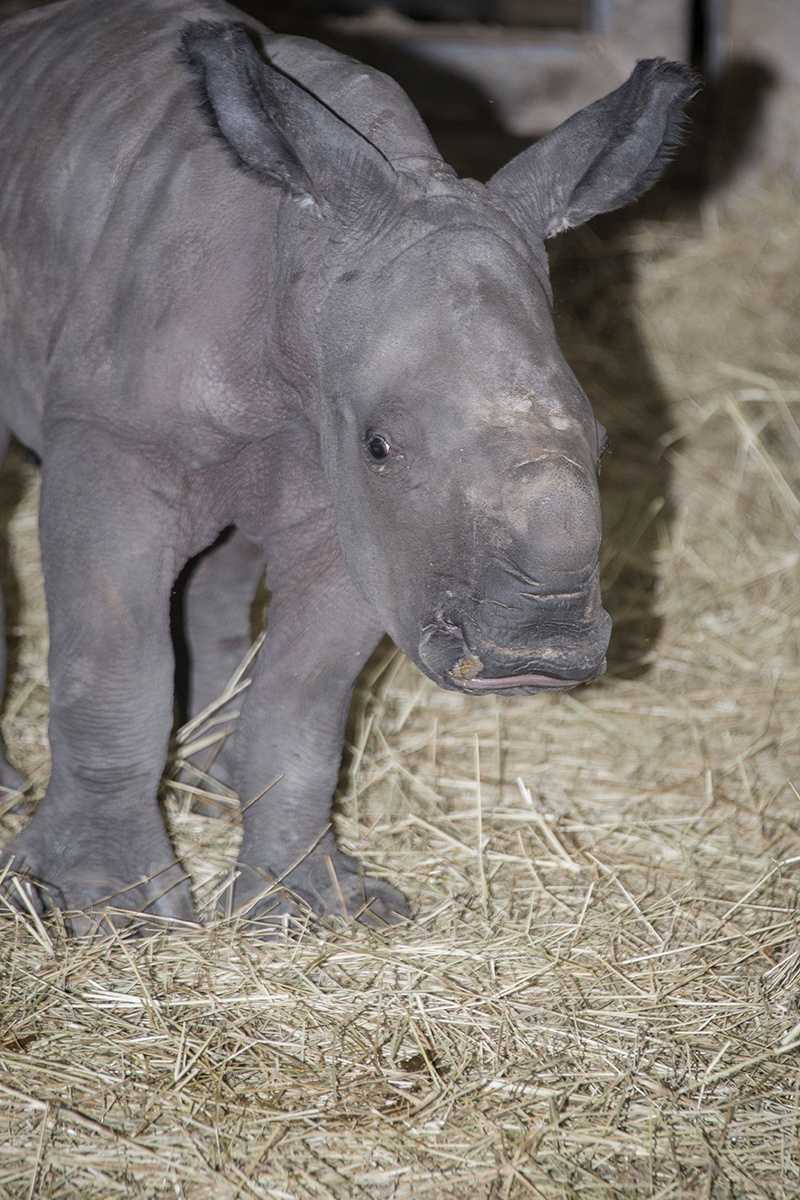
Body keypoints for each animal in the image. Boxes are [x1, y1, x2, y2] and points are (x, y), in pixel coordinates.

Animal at [0, 0, 695, 926]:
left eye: (607, 442)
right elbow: (111, 662)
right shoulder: (114, 439)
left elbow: (306, 699)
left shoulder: (364, 517)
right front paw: (104, 908)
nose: (534, 657)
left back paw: (209, 783)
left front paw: (314, 906)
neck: (305, 257)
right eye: (381, 444)